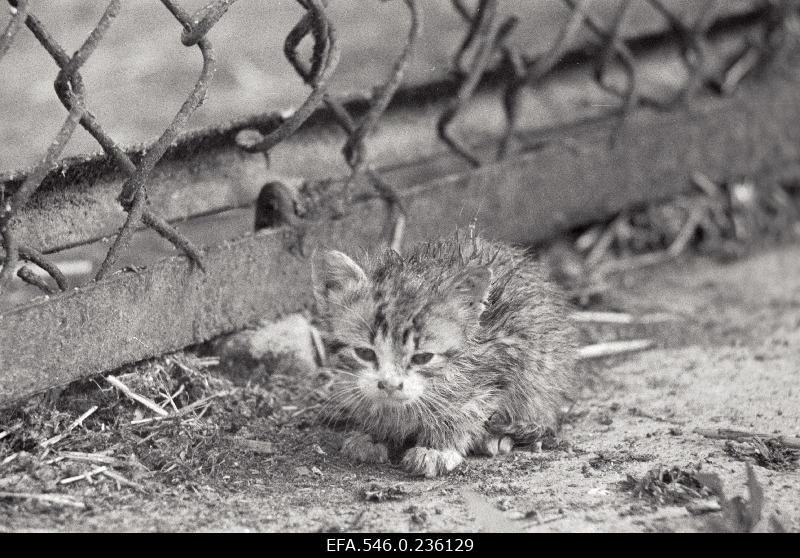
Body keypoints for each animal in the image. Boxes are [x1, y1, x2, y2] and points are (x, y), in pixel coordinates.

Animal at [312, 235, 576, 476]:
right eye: (364, 353)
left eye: (422, 358)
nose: (389, 385)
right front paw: (373, 433)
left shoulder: (496, 363)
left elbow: (465, 410)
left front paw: (436, 448)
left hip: (541, 368)